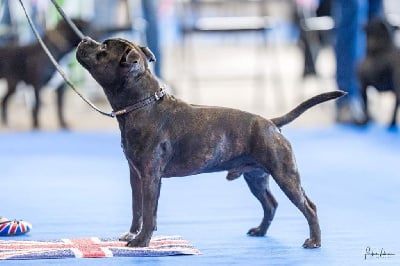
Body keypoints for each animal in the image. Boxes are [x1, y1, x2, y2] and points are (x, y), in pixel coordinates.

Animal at [76, 36, 346, 248]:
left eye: (104, 47)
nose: (84, 39)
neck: (143, 104)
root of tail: (270, 122)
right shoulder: (136, 175)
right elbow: (137, 208)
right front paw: (131, 234)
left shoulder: (150, 176)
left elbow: (149, 212)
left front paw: (141, 242)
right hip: (256, 177)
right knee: (270, 204)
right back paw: (260, 231)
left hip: (285, 175)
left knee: (308, 206)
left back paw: (314, 241)